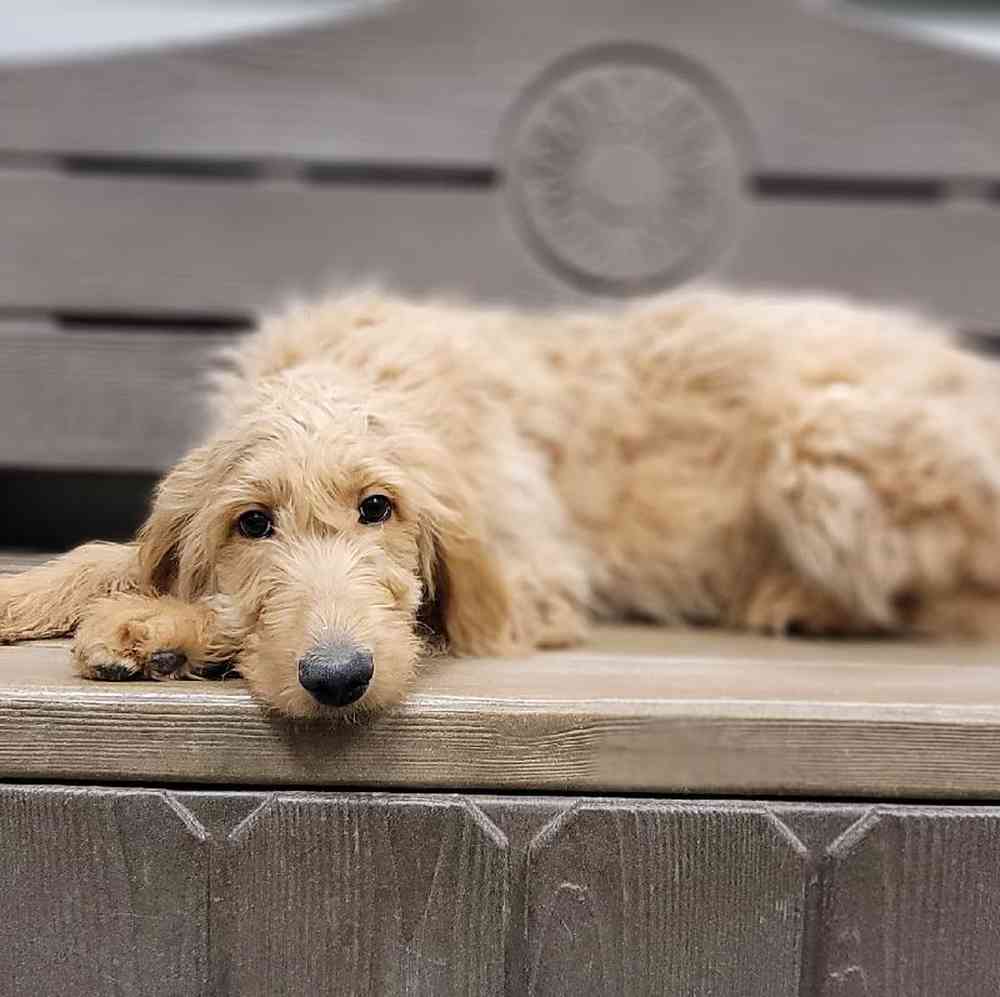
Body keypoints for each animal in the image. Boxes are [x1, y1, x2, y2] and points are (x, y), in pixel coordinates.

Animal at [1, 286, 1000, 716]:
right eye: (253, 523)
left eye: (379, 508)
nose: (338, 678)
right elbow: (114, 553)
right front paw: (35, 594)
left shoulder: (536, 577)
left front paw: (150, 628)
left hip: (822, 438)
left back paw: (795, 597)